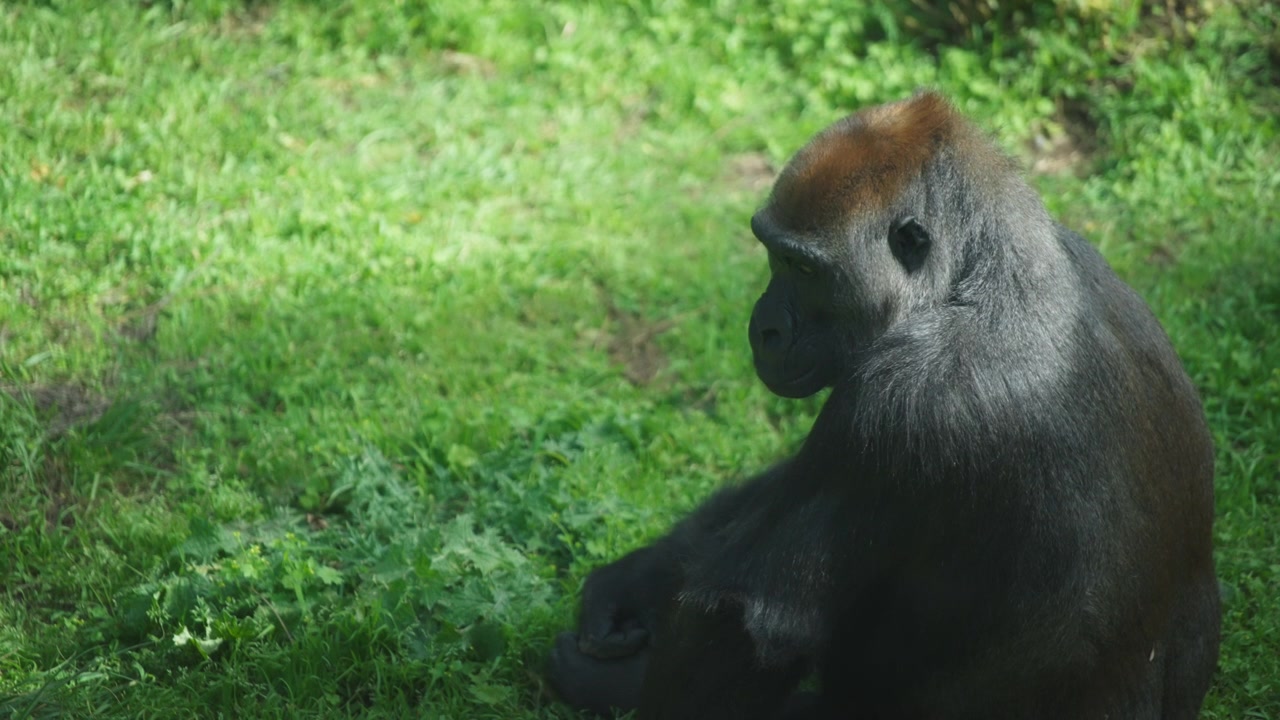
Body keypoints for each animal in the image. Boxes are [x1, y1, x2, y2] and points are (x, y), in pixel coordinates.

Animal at [547, 90, 1220, 719]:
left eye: (801, 266)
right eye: (770, 252)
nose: (763, 329)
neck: (979, 274)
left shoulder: (903, 396)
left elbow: (747, 620)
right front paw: (635, 579)